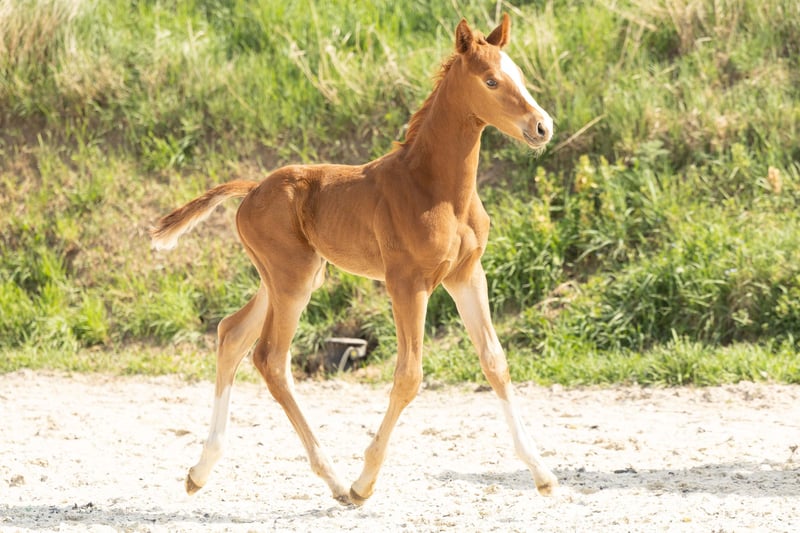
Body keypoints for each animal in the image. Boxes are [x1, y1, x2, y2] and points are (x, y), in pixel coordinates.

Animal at [150, 14, 558, 505]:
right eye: (492, 80)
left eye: (520, 74)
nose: (542, 126)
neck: (435, 188)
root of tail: (251, 189)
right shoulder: (407, 283)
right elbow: (409, 375)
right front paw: (365, 482)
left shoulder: (466, 275)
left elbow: (495, 363)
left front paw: (542, 473)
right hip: (292, 281)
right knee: (270, 358)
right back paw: (336, 480)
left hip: (286, 278)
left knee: (232, 334)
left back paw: (200, 471)